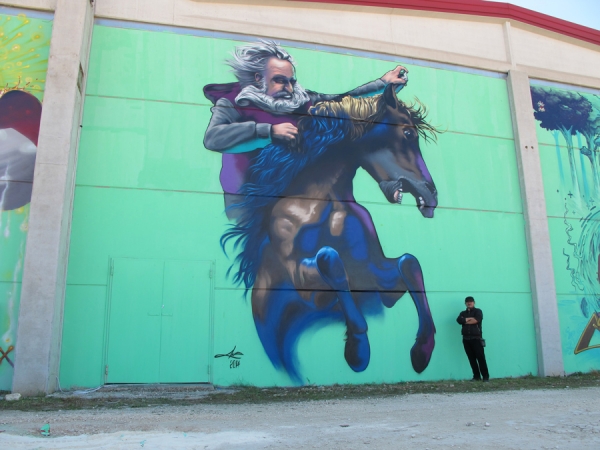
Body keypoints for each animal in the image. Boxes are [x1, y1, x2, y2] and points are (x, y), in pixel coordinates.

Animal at [223, 82, 438, 382]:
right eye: (408, 133)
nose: (431, 196)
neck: (322, 202)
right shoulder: (307, 289)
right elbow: (329, 258)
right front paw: (358, 350)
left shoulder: (376, 277)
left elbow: (409, 262)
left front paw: (422, 350)